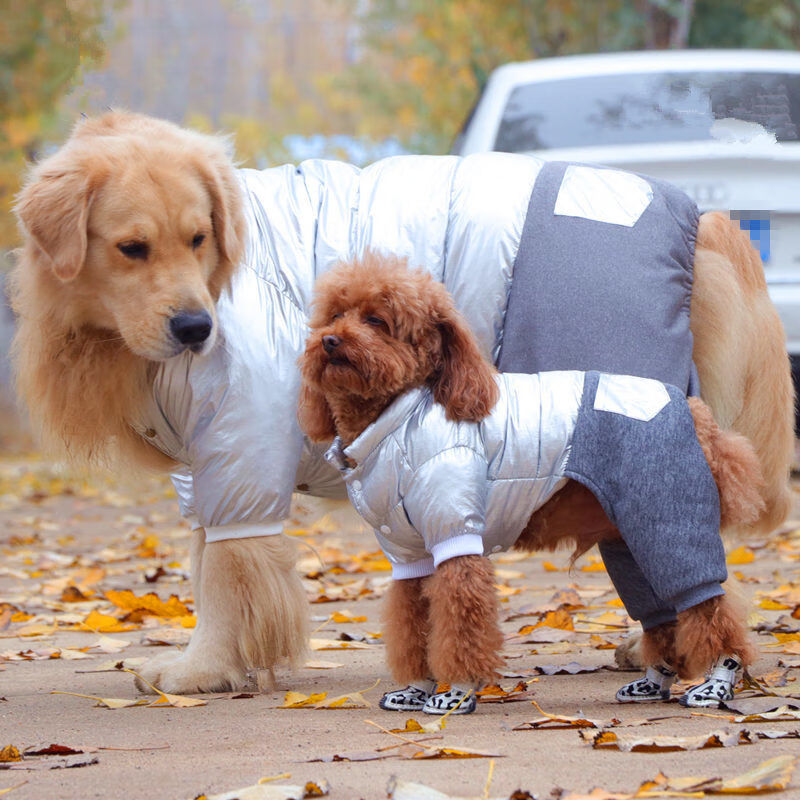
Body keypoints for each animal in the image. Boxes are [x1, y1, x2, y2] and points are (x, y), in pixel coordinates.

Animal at [304, 255, 764, 712]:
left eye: (377, 320)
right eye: (335, 315)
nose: (330, 341)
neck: (401, 419)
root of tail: (693, 409)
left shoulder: (455, 537)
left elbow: (458, 624)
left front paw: (455, 692)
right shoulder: (408, 552)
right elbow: (412, 627)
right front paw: (416, 689)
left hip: (666, 522)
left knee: (707, 604)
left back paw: (717, 682)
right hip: (631, 542)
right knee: (663, 615)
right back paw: (654, 682)